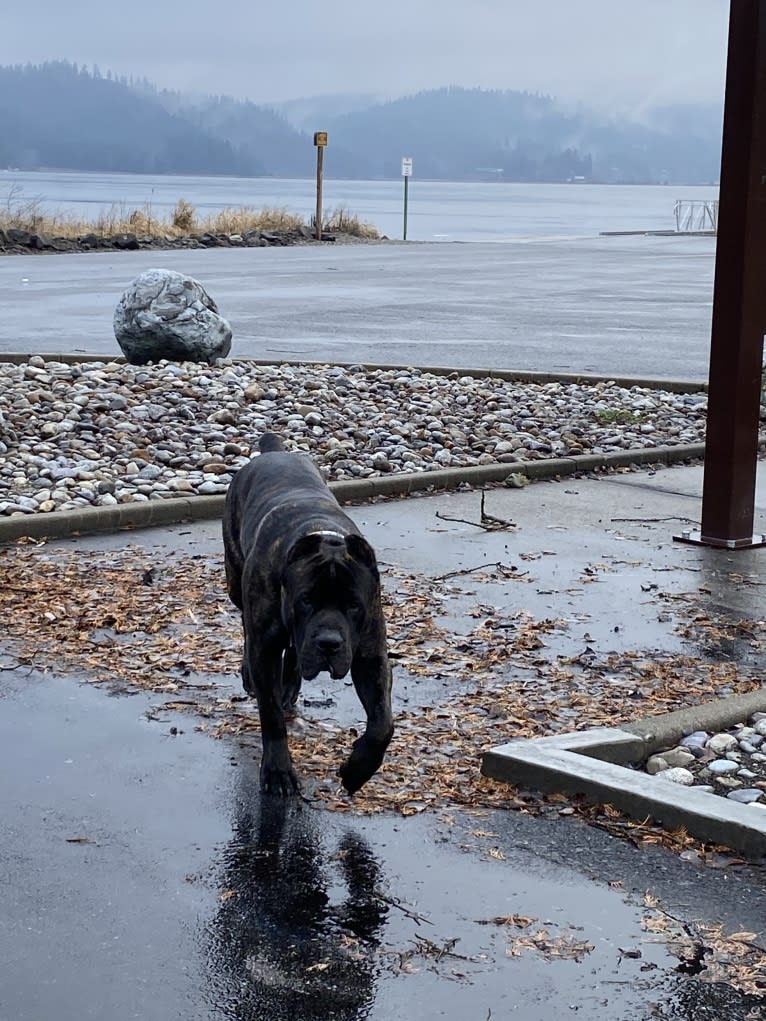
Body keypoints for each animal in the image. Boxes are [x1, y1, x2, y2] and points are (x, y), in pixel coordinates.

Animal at [220, 430, 390, 796]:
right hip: (236, 583)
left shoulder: (370, 654)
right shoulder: (265, 649)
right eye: (306, 600)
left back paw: (291, 685)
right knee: (246, 627)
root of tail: (273, 451)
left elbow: (382, 724)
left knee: (295, 652)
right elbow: (270, 716)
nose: (329, 642)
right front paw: (278, 771)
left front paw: (357, 771)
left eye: (353, 605)